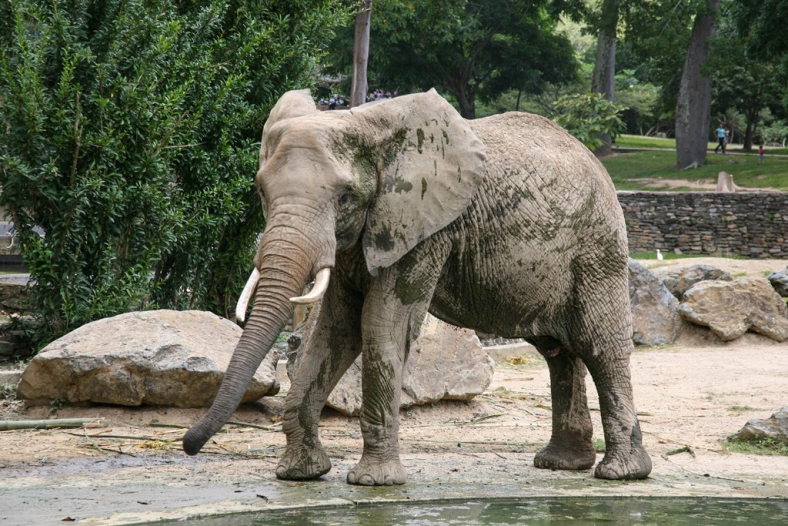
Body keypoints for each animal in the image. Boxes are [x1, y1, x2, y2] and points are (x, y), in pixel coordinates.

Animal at [183, 89, 652, 485]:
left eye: (345, 197)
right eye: (261, 190)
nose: (188, 445)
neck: (363, 122)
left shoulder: (424, 228)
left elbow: (381, 325)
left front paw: (373, 482)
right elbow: (335, 331)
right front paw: (300, 474)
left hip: (597, 250)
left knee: (599, 346)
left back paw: (620, 474)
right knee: (558, 351)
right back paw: (560, 464)